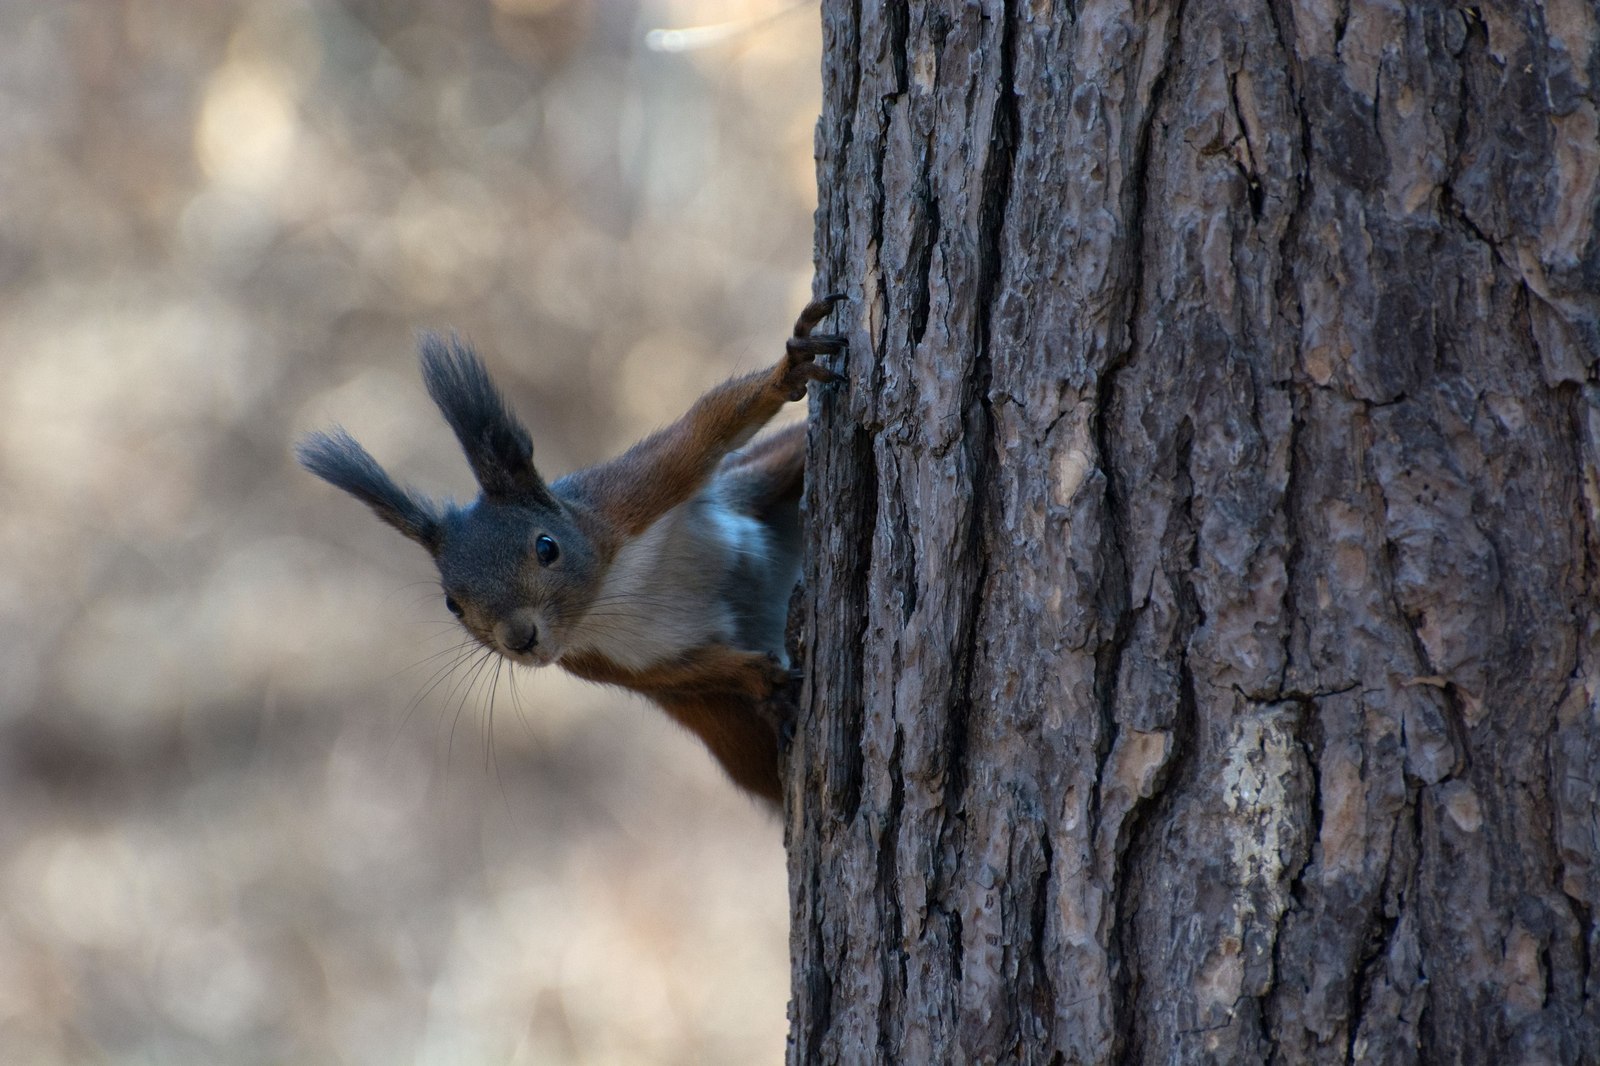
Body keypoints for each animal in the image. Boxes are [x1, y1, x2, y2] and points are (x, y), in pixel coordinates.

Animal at [300, 294, 851, 800]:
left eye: (547, 547)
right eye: (452, 604)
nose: (520, 640)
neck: (607, 595)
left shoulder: (634, 491)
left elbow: (711, 423)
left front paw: (788, 371)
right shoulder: (605, 663)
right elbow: (690, 673)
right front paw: (760, 679)